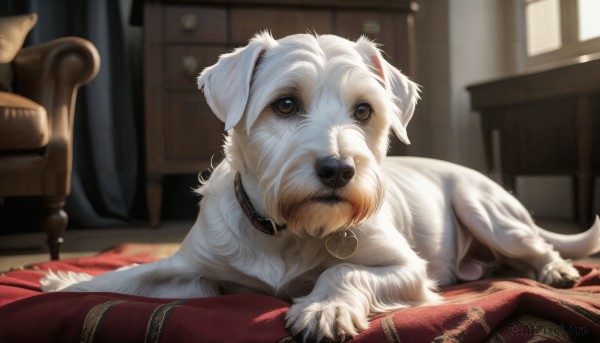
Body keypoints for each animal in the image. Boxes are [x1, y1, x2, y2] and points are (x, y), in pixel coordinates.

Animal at [42, 31, 600, 342]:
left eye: (364, 111)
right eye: (285, 104)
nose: (338, 169)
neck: (286, 229)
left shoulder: (408, 269)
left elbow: (344, 270)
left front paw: (324, 307)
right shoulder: (192, 269)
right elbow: (129, 277)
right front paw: (63, 281)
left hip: (484, 210)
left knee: (537, 247)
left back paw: (556, 271)